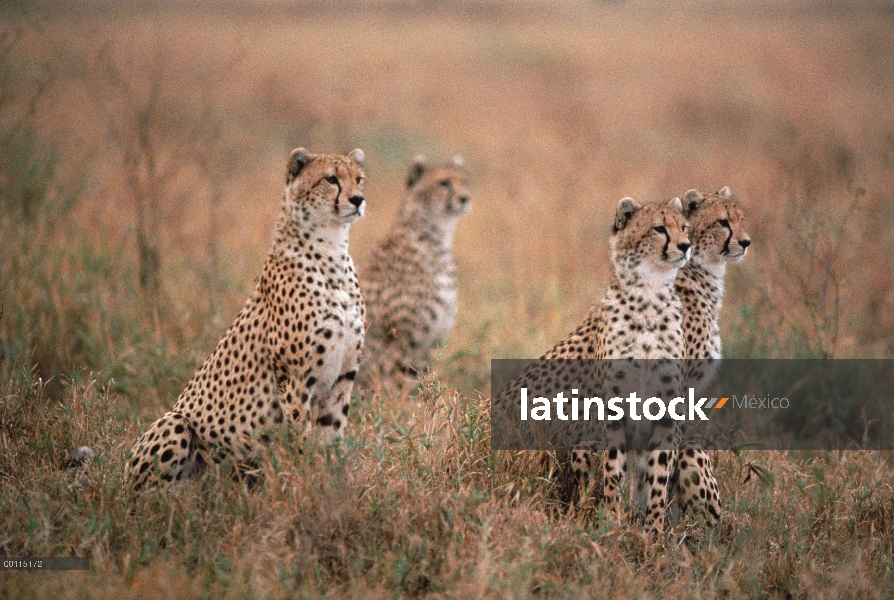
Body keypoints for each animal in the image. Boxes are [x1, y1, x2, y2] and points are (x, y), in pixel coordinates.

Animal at [125, 148, 368, 490]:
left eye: (359, 179)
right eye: (331, 179)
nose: (358, 199)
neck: (332, 251)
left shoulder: (343, 377)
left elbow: (330, 439)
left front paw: (331, 485)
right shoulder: (295, 379)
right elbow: (301, 440)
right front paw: (306, 484)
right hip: (175, 423)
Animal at [360, 155, 472, 392]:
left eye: (464, 181)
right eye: (444, 183)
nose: (465, 198)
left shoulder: (431, 342)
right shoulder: (401, 341)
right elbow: (399, 384)